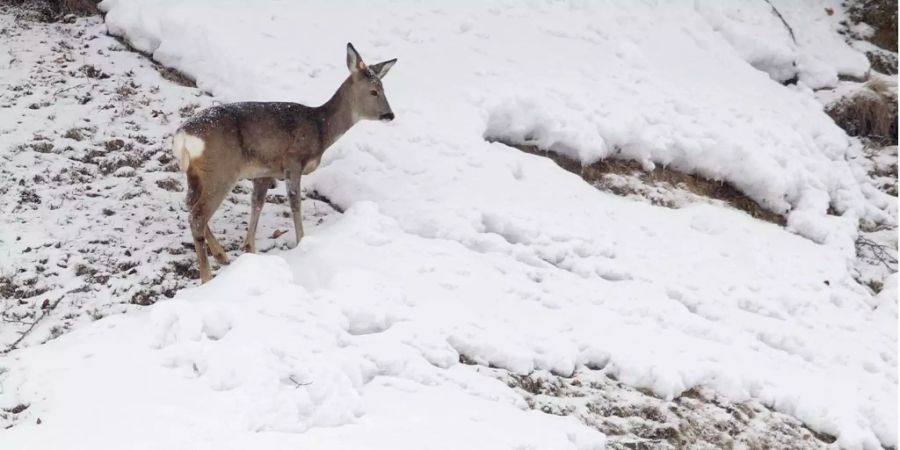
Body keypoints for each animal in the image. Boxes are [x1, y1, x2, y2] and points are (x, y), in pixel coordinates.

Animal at [171, 42, 396, 282]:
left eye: (384, 89)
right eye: (373, 91)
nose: (390, 115)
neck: (320, 129)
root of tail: (183, 136)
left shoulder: (265, 171)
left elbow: (257, 203)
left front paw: (249, 248)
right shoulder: (293, 160)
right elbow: (295, 202)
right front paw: (301, 241)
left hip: (196, 173)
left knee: (190, 205)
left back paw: (221, 255)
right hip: (221, 170)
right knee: (197, 216)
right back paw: (207, 277)